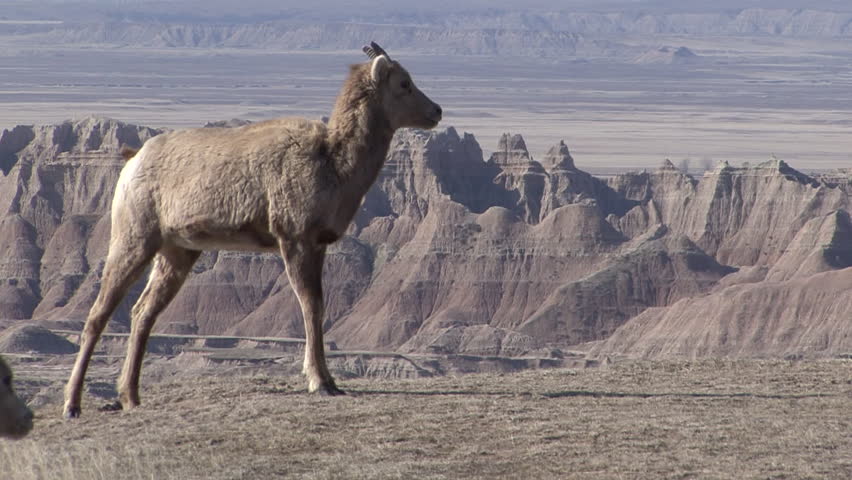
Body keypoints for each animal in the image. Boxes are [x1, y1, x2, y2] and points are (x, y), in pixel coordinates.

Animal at [63, 42, 442, 418]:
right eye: (404, 84)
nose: (436, 111)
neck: (334, 165)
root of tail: (133, 161)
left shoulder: (316, 247)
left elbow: (317, 305)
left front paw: (328, 381)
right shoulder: (295, 241)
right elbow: (310, 304)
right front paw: (320, 382)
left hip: (177, 253)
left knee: (142, 314)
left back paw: (131, 397)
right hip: (134, 242)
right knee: (98, 316)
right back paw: (72, 405)